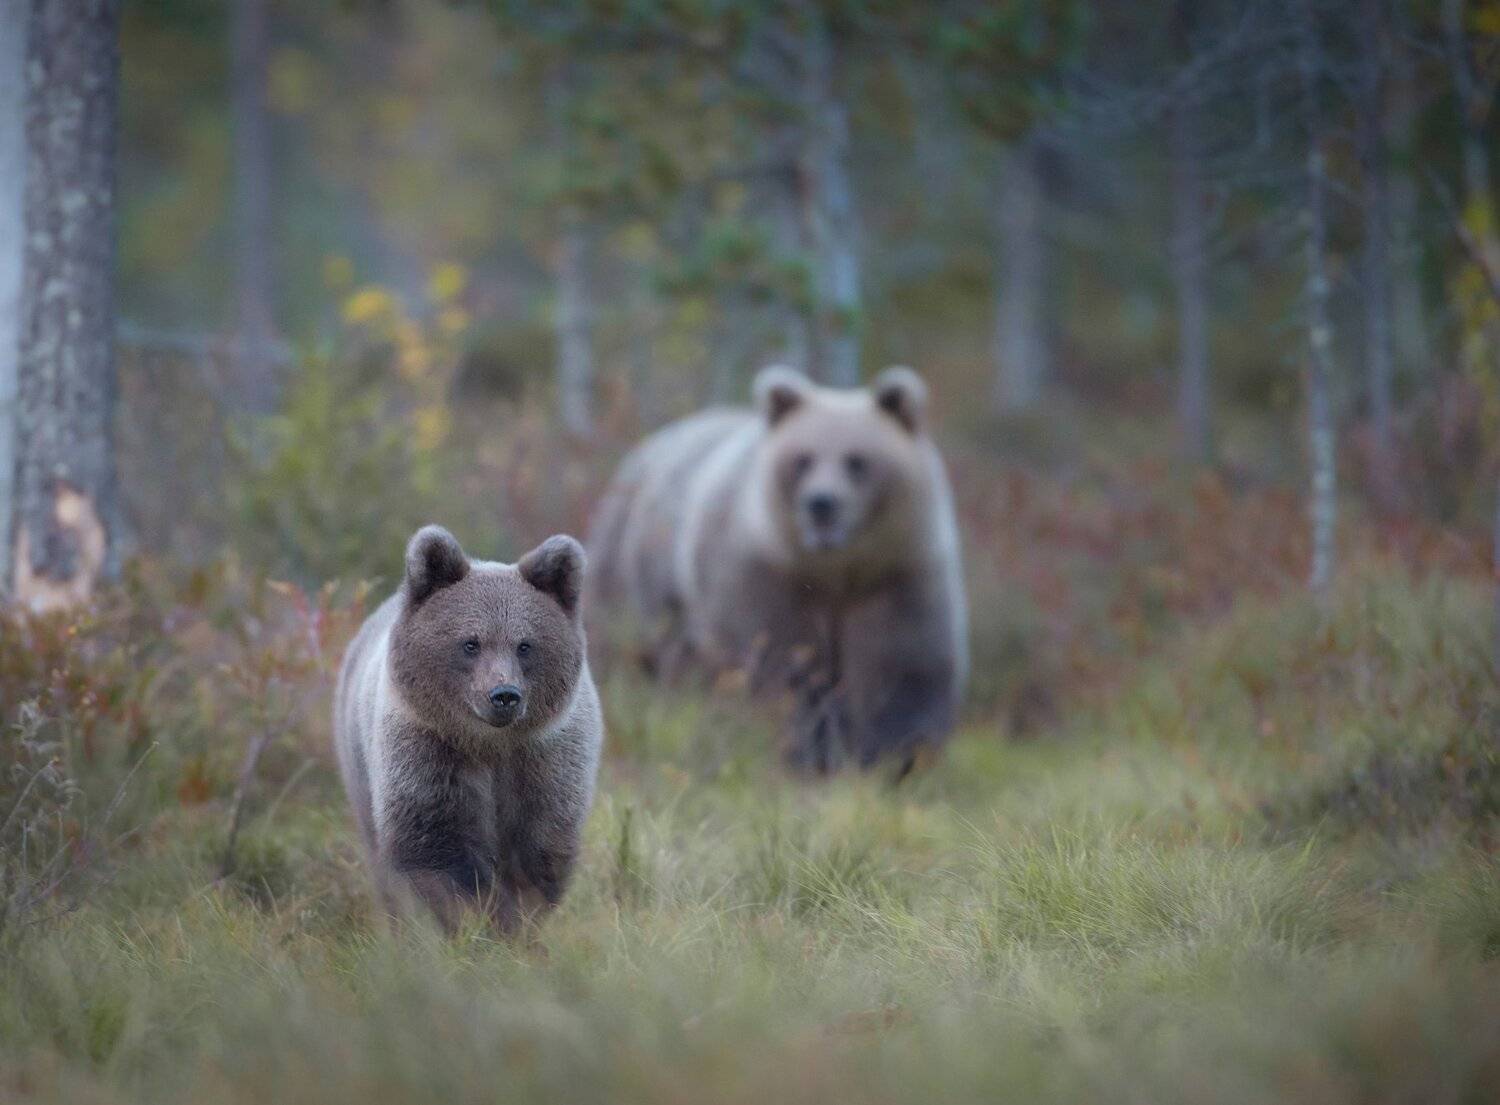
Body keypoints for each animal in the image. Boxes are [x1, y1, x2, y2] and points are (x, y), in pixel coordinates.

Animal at [333, 525, 603, 934]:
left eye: (525, 645)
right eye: (471, 643)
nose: (504, 695)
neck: (490, 745)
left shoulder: (546, 760)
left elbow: (538, 851)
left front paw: (516, 922)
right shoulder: (429, 752)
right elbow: (439, 852)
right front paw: (474, 920)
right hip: (360, 771)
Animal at [588, 364, 967, 776]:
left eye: (857, 460)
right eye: (803, 459)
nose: (821, 504)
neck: (836, 570)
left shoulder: (898, 574)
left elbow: (903, 665)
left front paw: (897, 757)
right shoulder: (766, 574)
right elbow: (782, 664)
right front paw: (809, 751)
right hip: (631, 567)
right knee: (625, 643)